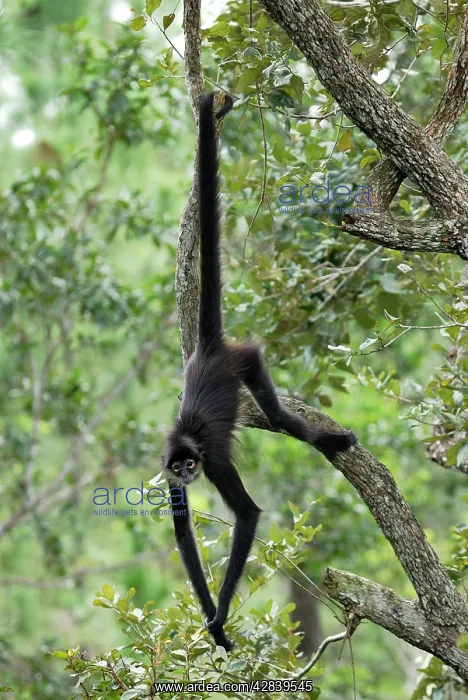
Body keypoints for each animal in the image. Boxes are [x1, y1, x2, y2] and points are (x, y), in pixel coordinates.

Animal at [163, 91, 357, 652]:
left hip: (247, 361)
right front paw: (215, 625)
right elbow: (183, 536)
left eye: (193, 463)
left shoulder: (214, 458)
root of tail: (209, 350)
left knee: (279, 416)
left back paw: (324, 439)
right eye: (179, 468)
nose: (188, 473)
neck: (188, 443)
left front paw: (221, 617)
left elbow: (247, 515)